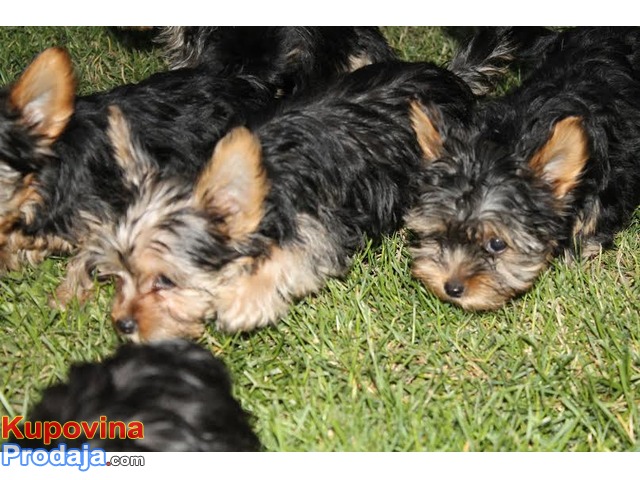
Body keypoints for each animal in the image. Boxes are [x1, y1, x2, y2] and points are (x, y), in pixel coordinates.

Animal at [70, 28, 533, 341]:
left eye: (165, 280)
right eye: (119, 276)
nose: (122, 324)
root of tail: (452, 79)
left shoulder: (319, 224)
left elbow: (289, 259)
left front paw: (242, 300)